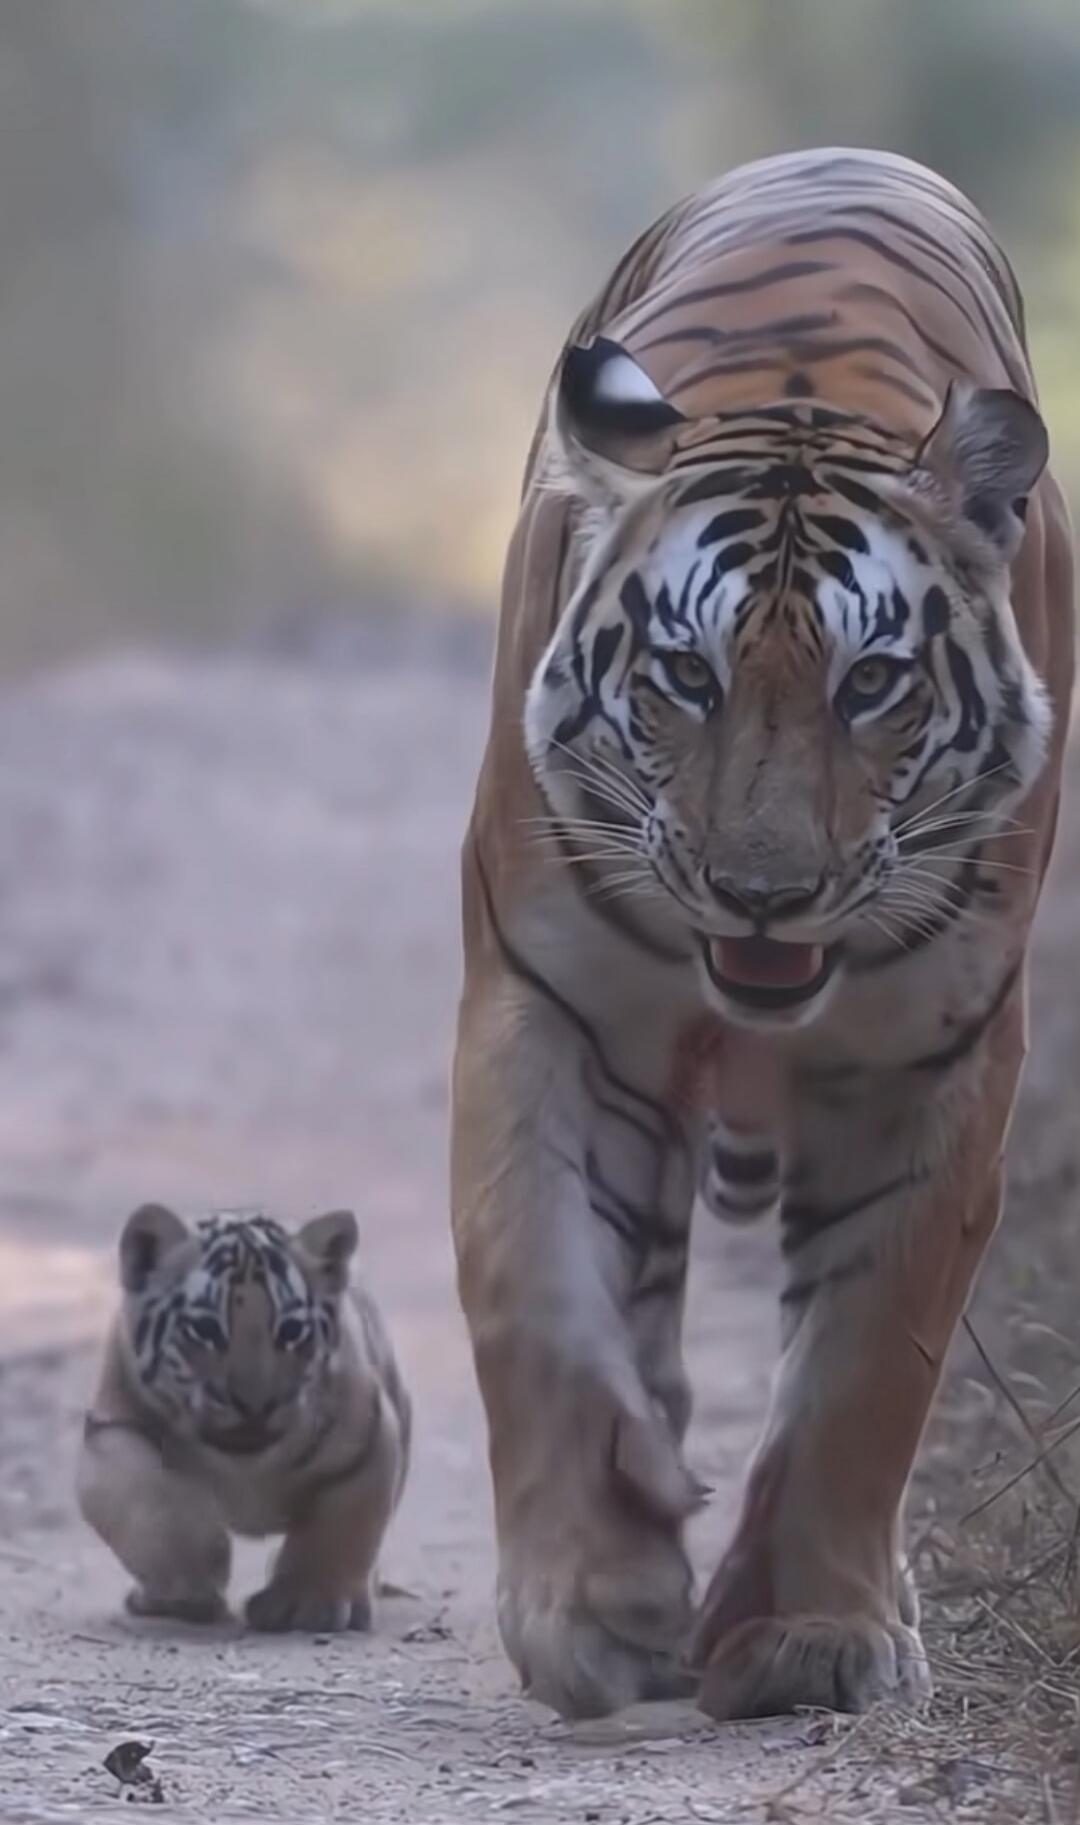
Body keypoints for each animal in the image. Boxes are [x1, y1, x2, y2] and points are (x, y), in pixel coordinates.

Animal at [77, 1204, 411, 1632]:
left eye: (291, 1331)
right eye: (204, 1329)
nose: (255, 1404)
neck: (245, 1467)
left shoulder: (369, 1437)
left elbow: (340, 1526)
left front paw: (308, 1604)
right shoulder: (111, 1431)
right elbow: (151, 1504)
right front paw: (193, 1582)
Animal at [451, 147, 1074, 1722]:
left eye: (873, 684)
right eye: (686, 675)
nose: (763, 892)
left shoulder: (935, 1055)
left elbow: (868, 1360)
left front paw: (808, 1631)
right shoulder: (552, 1003)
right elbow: (539, 1286)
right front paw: (595, 1600)